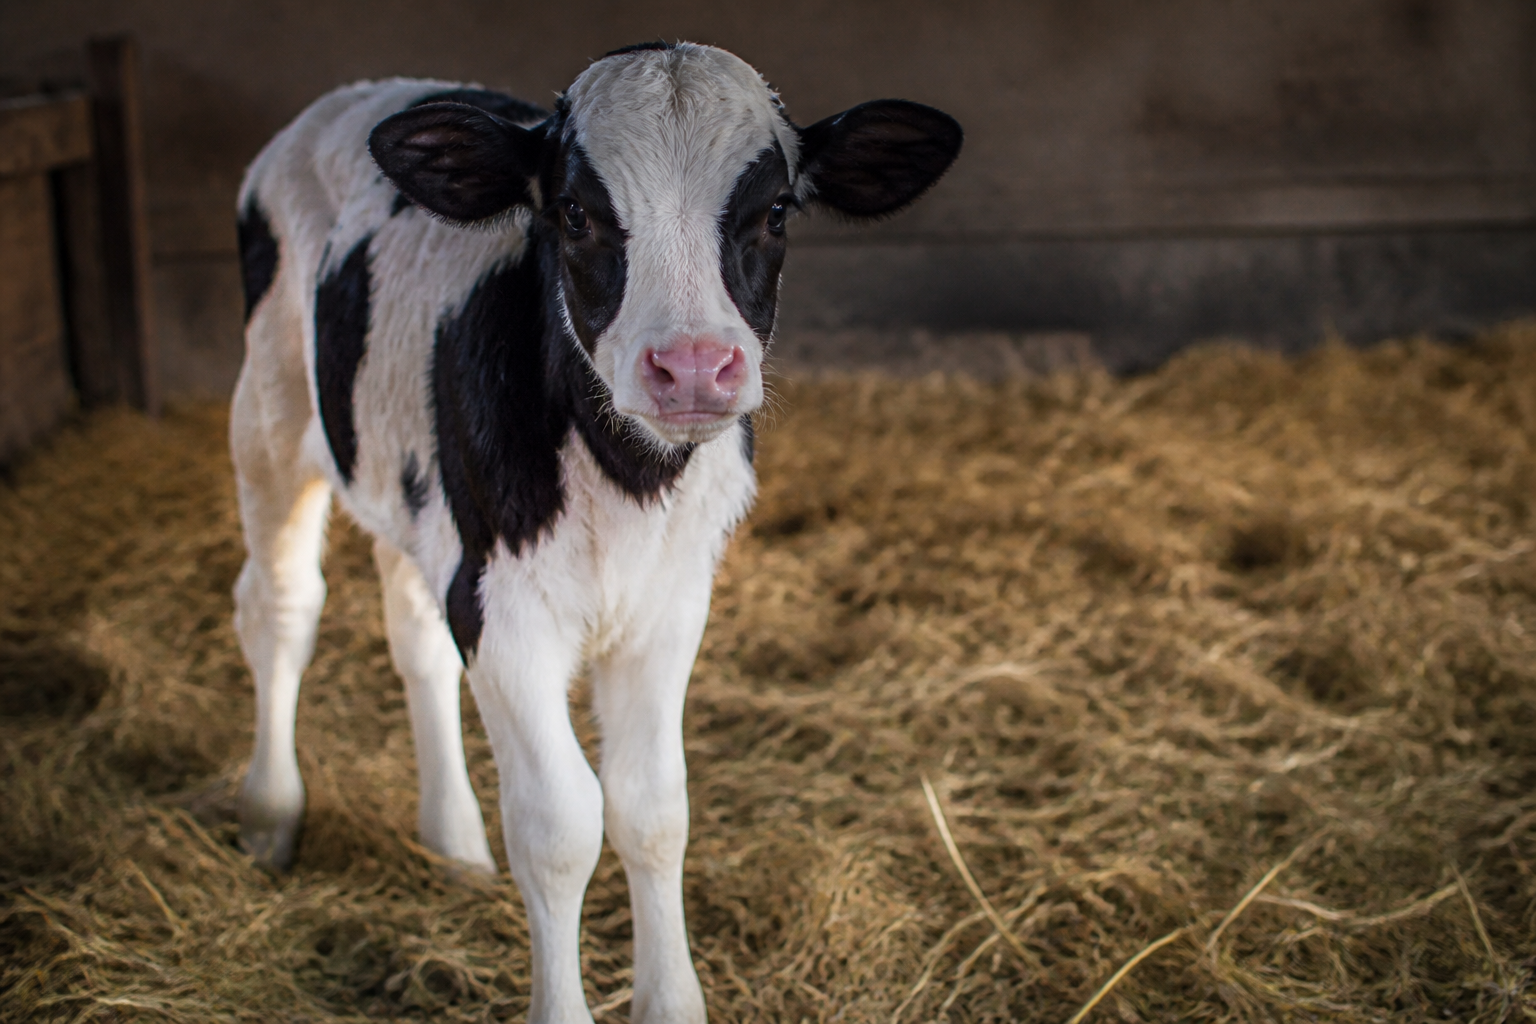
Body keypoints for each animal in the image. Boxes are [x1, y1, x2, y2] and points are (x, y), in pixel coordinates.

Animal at [231, 41, 961, 1023]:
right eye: (574, 212)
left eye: (774, 210)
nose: (692, 366)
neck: (631, 481)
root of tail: (360, 93)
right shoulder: (504, 614)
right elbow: (560, 824)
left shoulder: (668, 604)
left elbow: (653, 807)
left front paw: (671, 1001)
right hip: (269, 416)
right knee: (279, 606)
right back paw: (271, 814)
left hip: (408, 487)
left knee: (413, 634)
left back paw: (451, 841)